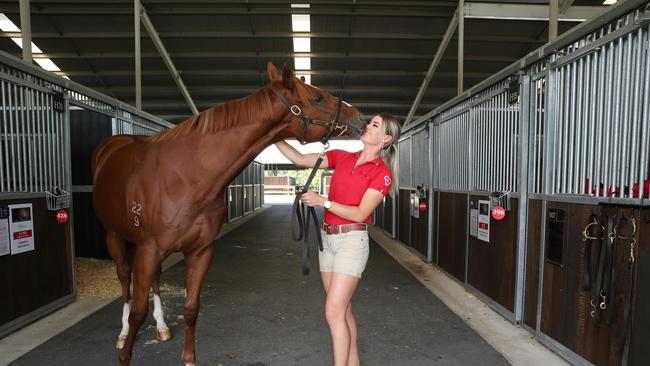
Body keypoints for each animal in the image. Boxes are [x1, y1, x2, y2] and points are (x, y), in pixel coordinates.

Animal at [91, 61, 364, 364]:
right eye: (318, 98)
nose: (361, 118)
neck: (186, 175)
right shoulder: (149, 248)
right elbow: (138, 310)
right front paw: (125, 355)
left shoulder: (200, 251)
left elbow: (191, 307)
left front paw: (189, 358)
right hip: (115, 237)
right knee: (124, 279)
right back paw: (123, 333)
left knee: (156, 279)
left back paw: (162, 327)